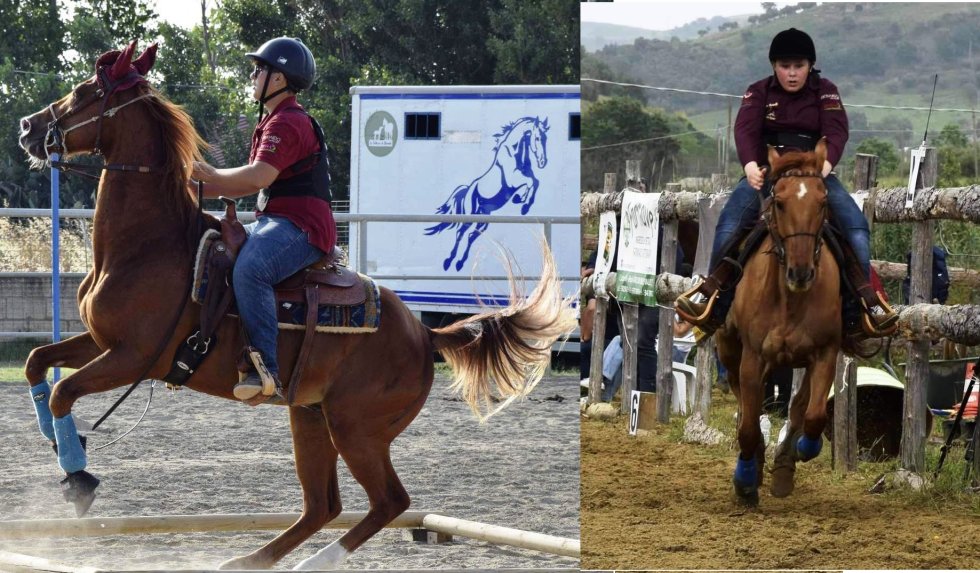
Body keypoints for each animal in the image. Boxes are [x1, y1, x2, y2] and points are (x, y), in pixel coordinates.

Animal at [17, 41, 576, 568]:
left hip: (355, 429)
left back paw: (313, 561)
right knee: (322, 506)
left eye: (87, 91)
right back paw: (247, 560)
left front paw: (78, 477)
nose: (27, 126)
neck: (149, 244)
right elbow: (37, 364)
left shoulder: (135, 357)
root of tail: (424, 334)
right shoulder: (102, 341)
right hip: (310, 418)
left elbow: (64, 391)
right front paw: (56, 441)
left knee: (387, 502)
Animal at [712, 141, 844, 508]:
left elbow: (812, 415)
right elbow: (747, 425)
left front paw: (798, 453)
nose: (801, 272)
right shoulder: (753, 357)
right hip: (729, 351)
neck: (790, 299)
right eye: (780, 202)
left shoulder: (825, 353)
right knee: (746, 406)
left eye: (823, 201)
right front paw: (745, 480)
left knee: (797, 407)